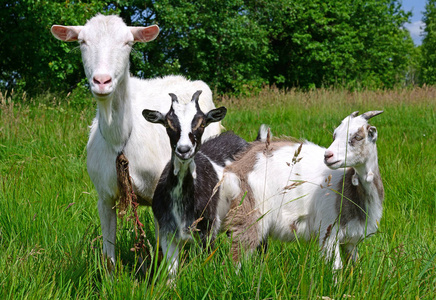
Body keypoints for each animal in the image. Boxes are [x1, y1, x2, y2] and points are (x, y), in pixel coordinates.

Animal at [51, 14, 221, 268]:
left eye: (128, 43)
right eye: (82, 42)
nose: (102, 81)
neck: (120, 140)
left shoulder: (161, 195)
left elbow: (165, 248)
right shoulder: (104, 196)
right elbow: (109, 254)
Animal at [223, 110, 384, 270]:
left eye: (357, 137)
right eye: (335, 135)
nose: (328, 155)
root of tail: (236, 166)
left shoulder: (351, 239)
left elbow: (354, 266)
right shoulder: (328, 231)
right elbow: (336, 268)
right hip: (251, 211)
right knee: (238, 252)